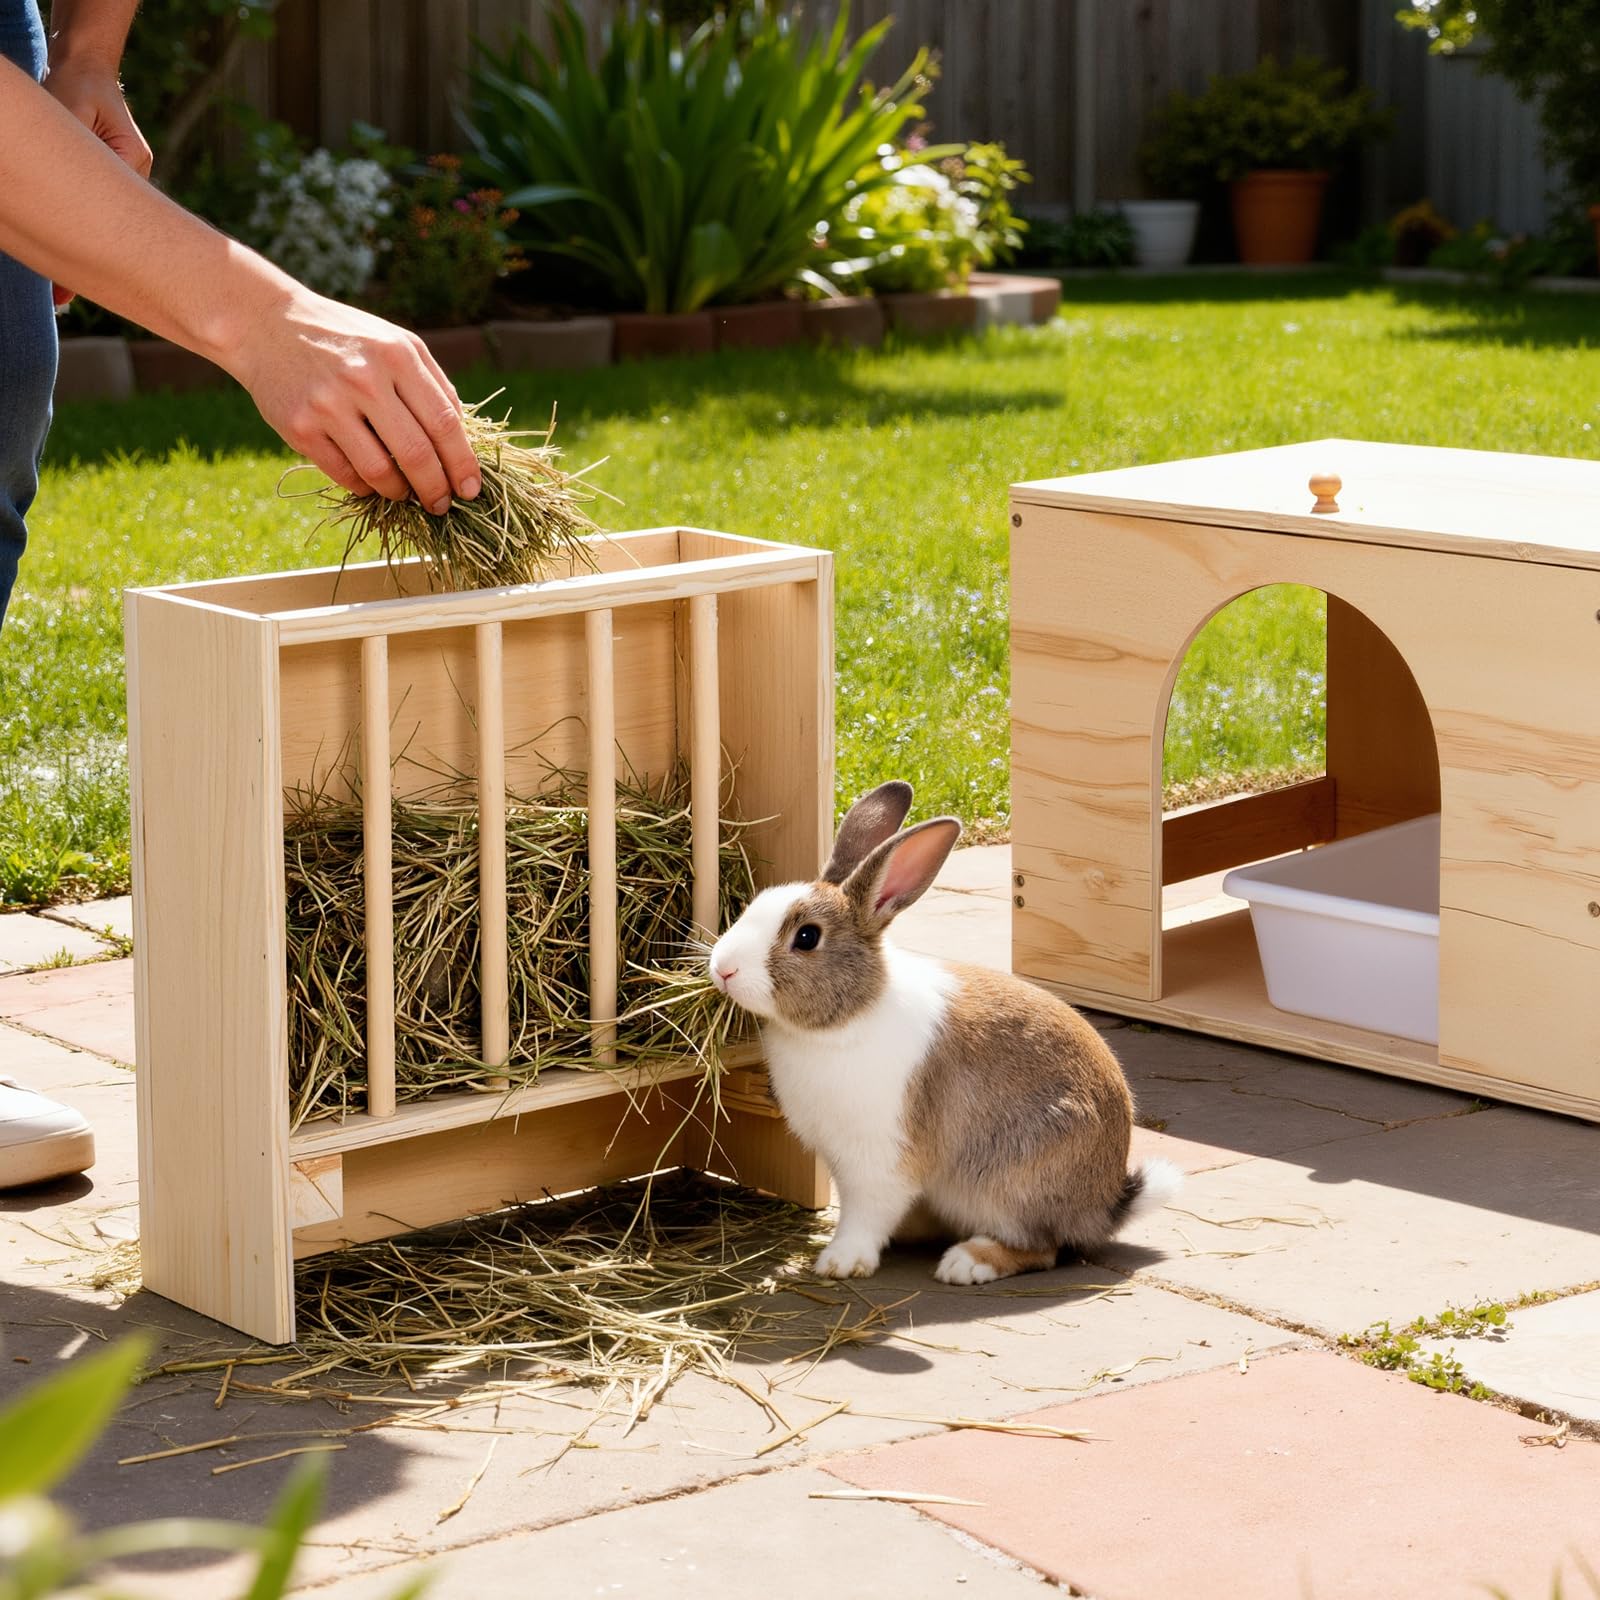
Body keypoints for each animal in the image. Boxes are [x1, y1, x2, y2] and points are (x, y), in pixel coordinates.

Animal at [707, 780, 1181, 1285]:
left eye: (806, 937)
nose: (723, 968)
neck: (850, 1015)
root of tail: (1105, 1206)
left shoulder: (880, 1161)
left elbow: (863, 1214)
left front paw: (839, 1262)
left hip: (1014, 1184)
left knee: (1042, 1249)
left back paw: (966, 1263)